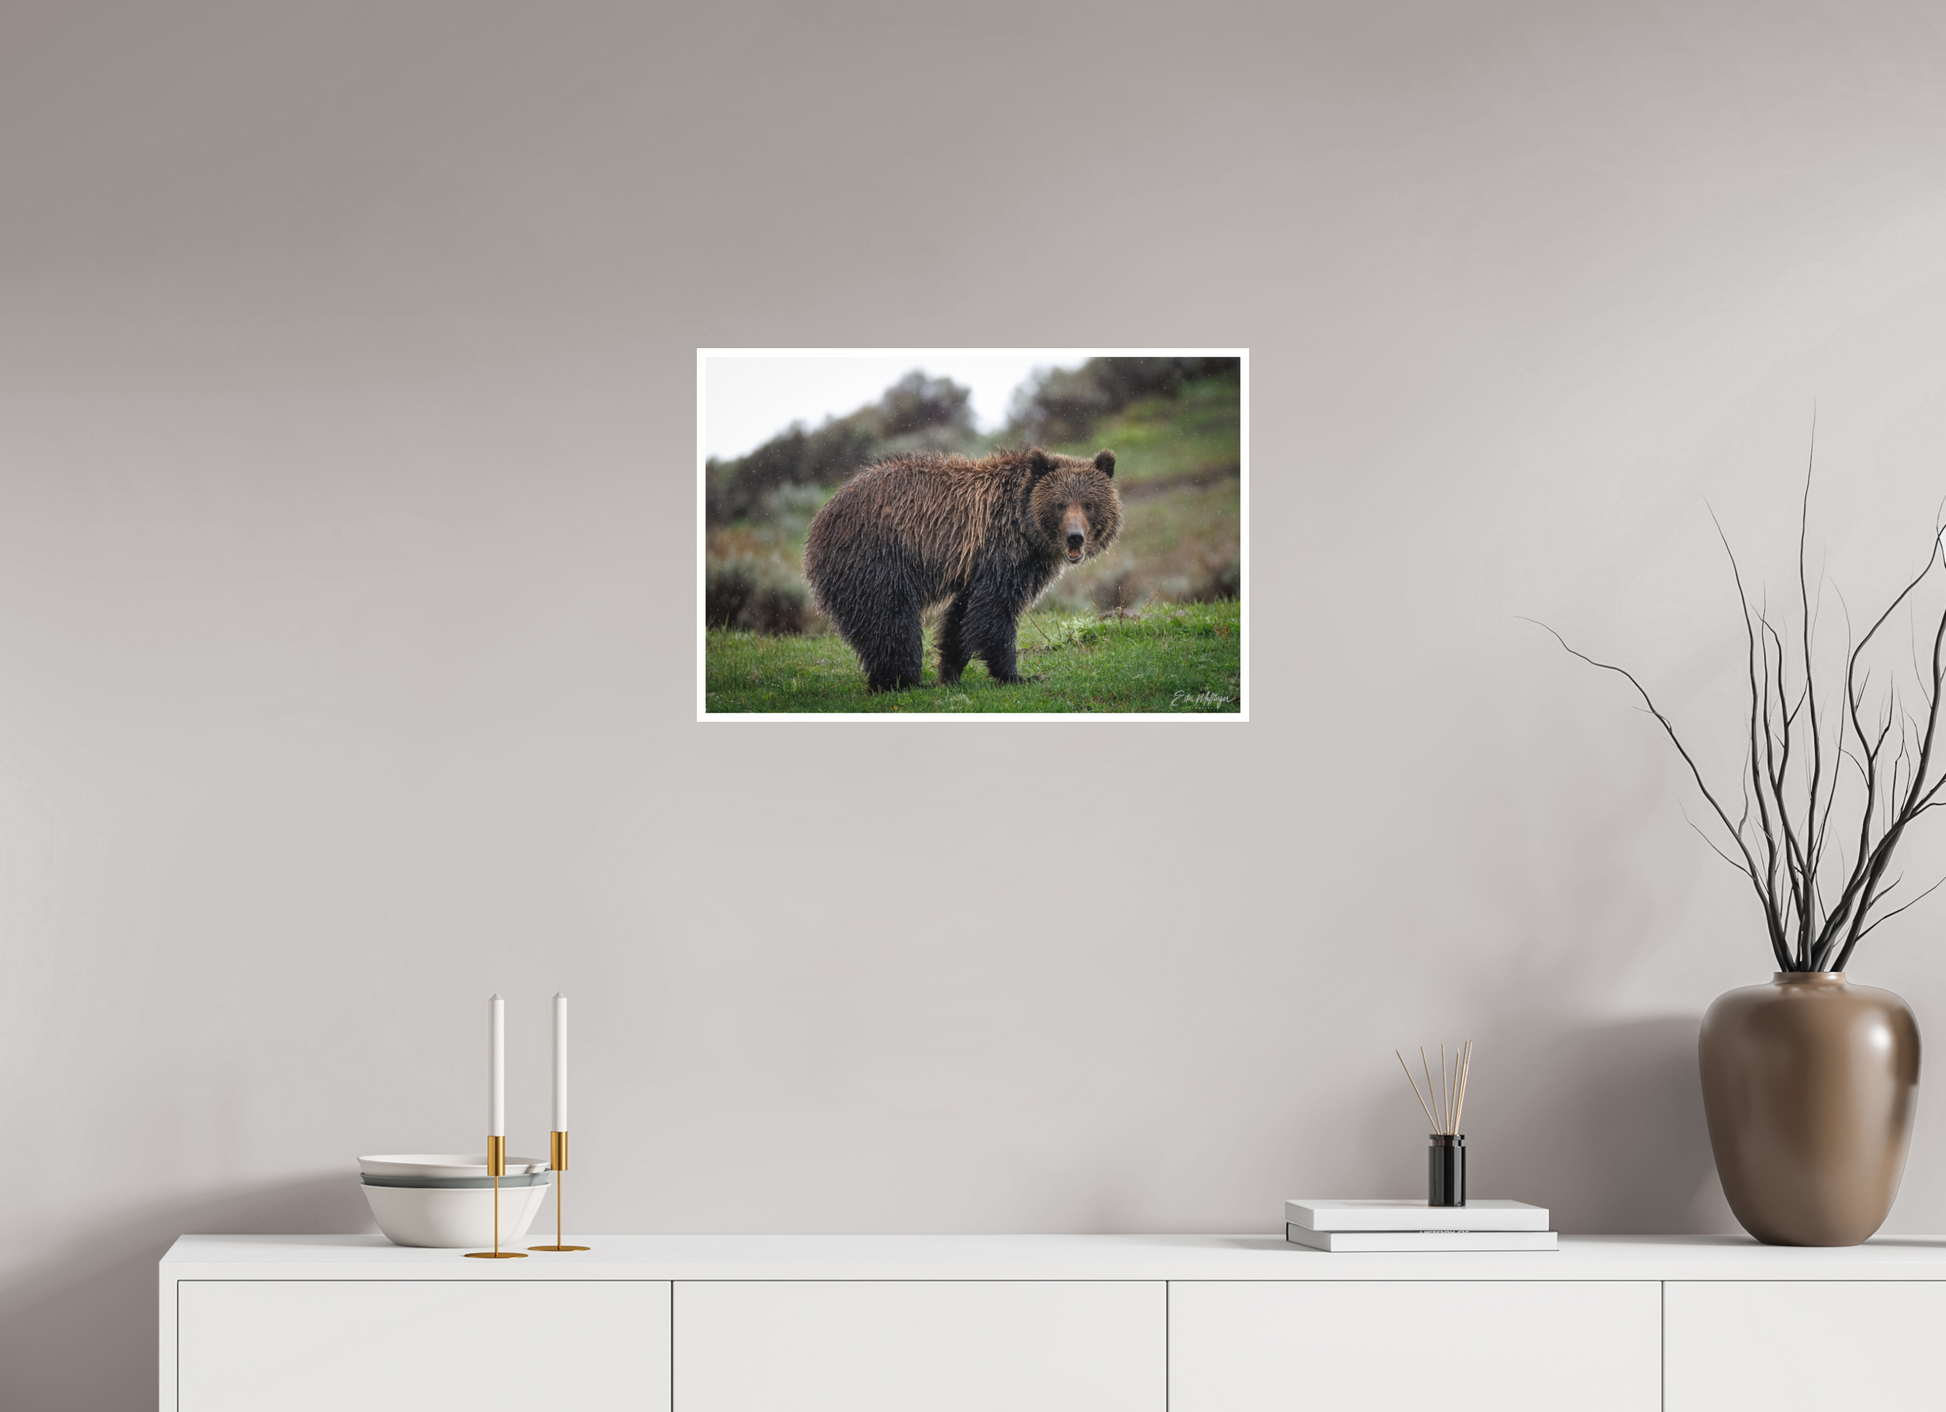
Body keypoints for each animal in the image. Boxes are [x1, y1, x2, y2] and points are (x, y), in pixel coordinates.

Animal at [803, 447, 1122, 692]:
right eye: (1060, 504)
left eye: (1089, 504)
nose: (1075, 537)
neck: (1026, 529)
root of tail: (820, 519)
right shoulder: (1001, 554)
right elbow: (993, 614)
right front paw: (1017, 675)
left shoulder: (979, 568)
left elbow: (961, 617)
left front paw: (949, 672)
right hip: (877, 559)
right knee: (891, 621)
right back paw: (903, 681)